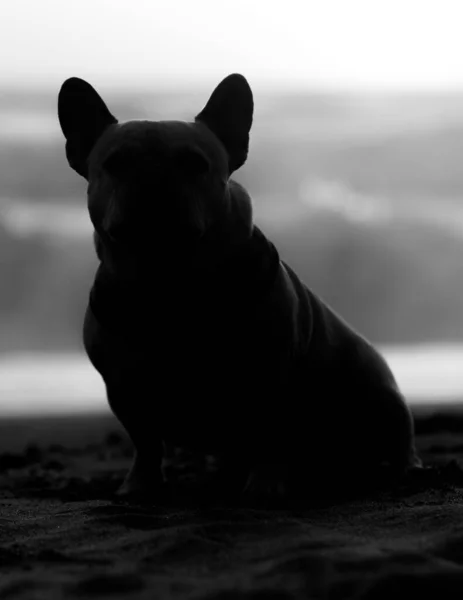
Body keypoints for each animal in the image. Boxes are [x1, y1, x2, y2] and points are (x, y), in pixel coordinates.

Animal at [56, 74, 422, 506]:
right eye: (114, 164)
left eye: (195, 164)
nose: (153, 180)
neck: (167, 279)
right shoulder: (123, 388)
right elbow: (145, 443)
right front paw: (140, 485)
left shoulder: (270, 376)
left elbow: (269, 432)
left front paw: (266, 484)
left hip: (383, 403)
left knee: (395, 440)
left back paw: (402, 468)